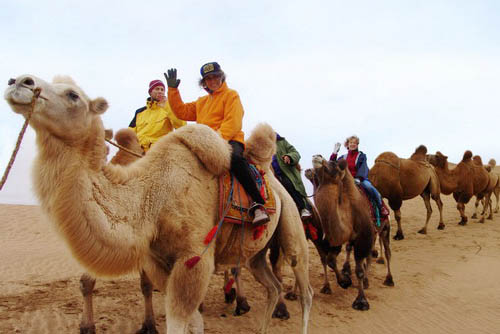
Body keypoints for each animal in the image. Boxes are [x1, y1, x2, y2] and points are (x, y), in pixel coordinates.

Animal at [5, 73, 312, 334]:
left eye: (73, 95)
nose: (18, 81)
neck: (151, 197)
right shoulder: (157, 261)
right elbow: (193, 320)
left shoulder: (194, 258)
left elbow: (179, 320)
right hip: (255, 253)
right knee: (272, 285)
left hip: (291, 223)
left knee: (303, 285)